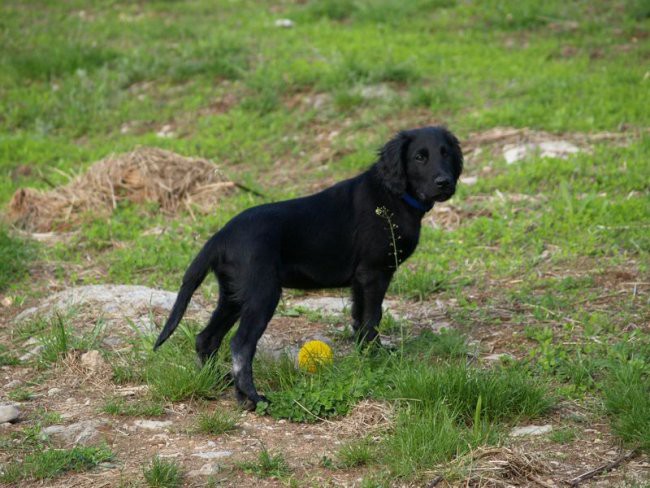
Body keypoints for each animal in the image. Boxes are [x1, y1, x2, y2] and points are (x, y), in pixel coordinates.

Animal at [155, 126, 464, 408]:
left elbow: (359, 319)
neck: (393, 195)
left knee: (206, 338)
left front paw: (365, 357)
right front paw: (376, 357)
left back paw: (220, 382)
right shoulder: (374, 273)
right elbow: (371, 318)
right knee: (240, 345)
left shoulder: (360, 280)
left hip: (233, 294)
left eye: (446, 154)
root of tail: (220, 237)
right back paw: (252, 398)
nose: (445, 182)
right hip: (262, 293)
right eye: (419, 157)